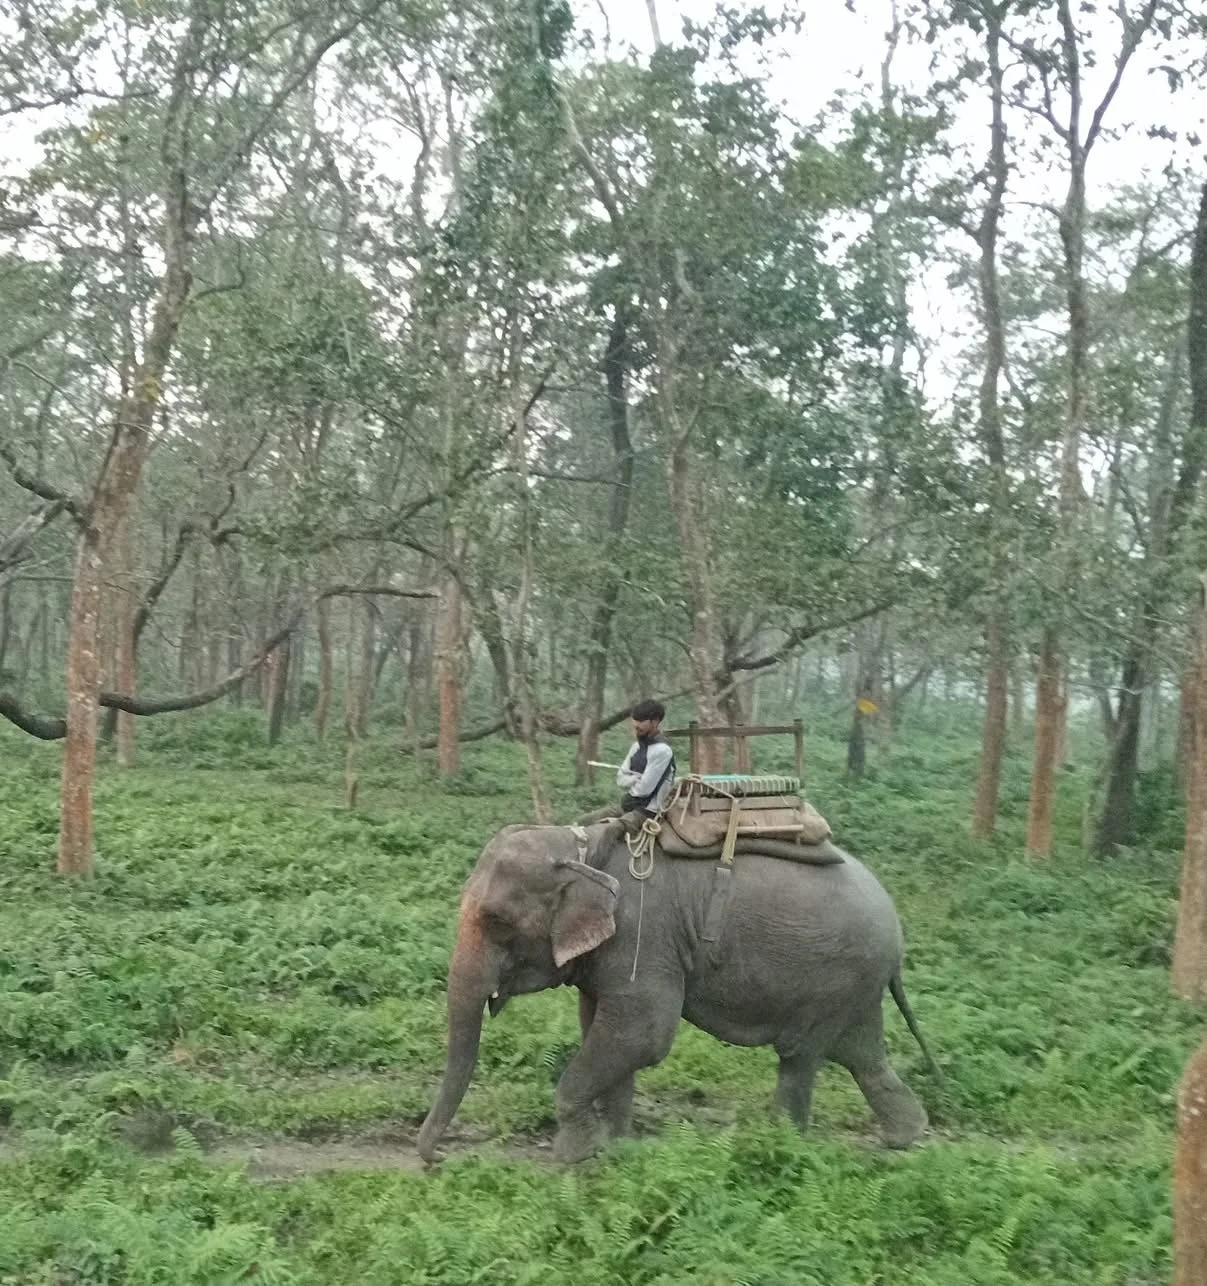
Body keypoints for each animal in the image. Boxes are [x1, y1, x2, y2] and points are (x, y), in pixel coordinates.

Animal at [417, 821, 940, 1164]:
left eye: (497, 921)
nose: (434, 1159)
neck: (582, 848)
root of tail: (896, 930)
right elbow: (602, 1026)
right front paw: (617, 1146)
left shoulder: (644, 934)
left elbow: (644, 1033)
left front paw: (575, 1156)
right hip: (855, 982)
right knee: (862, 1054)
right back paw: (905, 1137)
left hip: (835, 975)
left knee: (802, 1054)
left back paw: (780, 1143)